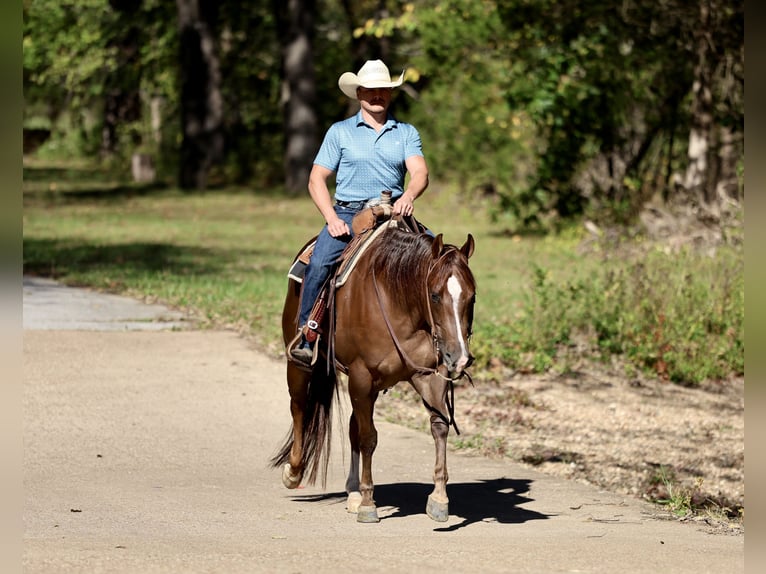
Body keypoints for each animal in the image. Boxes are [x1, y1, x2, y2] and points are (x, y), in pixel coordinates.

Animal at [271, 224, 476, 523]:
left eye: (472, 296)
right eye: (435, 295)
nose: (459, 357)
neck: (399, 302)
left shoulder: (428, 376)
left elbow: (439, 426)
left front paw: (438, 499)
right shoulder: (361, 377)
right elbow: (369, 438)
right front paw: (369, 503)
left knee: (351, 427)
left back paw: (352, 492)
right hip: (301, 365)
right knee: (299, 407)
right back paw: (294, 472)